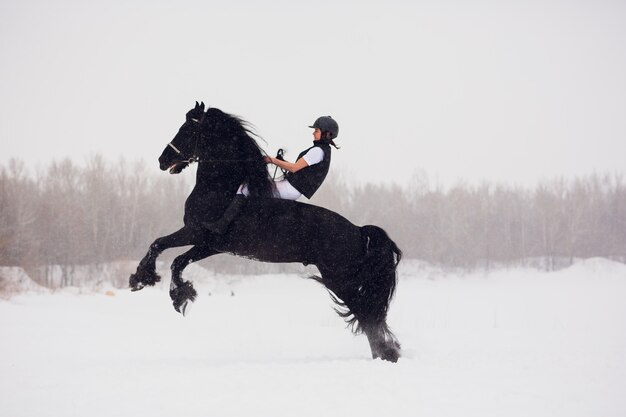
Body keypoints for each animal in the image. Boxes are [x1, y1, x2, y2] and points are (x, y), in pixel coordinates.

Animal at [130, 101, 402, 360]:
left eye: (187, 129)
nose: (162, 161)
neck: (219, 189)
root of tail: (358, 231)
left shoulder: (195, 232)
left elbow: (159, 244)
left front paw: (153, 285)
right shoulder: (210, 245)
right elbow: (176, 260)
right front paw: (169, 290)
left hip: (340, 279)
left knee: (367, 315)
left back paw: (386, 355)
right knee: (369, 315)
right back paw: (384, 354)